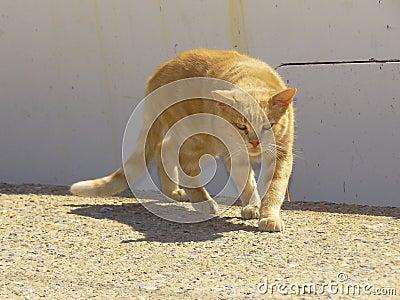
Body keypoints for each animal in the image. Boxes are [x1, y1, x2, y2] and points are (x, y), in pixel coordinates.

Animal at [72, 49, 296, 232]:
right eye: (241, 126)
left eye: (268, 126)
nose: (255, 143)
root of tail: (160, 69)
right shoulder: (233, 154)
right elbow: (247, 182)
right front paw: (252, 206)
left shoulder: (282, 154)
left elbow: (274, 189)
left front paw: (267, 214)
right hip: (200, 140)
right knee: (176, 158)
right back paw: (202, 202)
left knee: (165, 148)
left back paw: (172, 191)